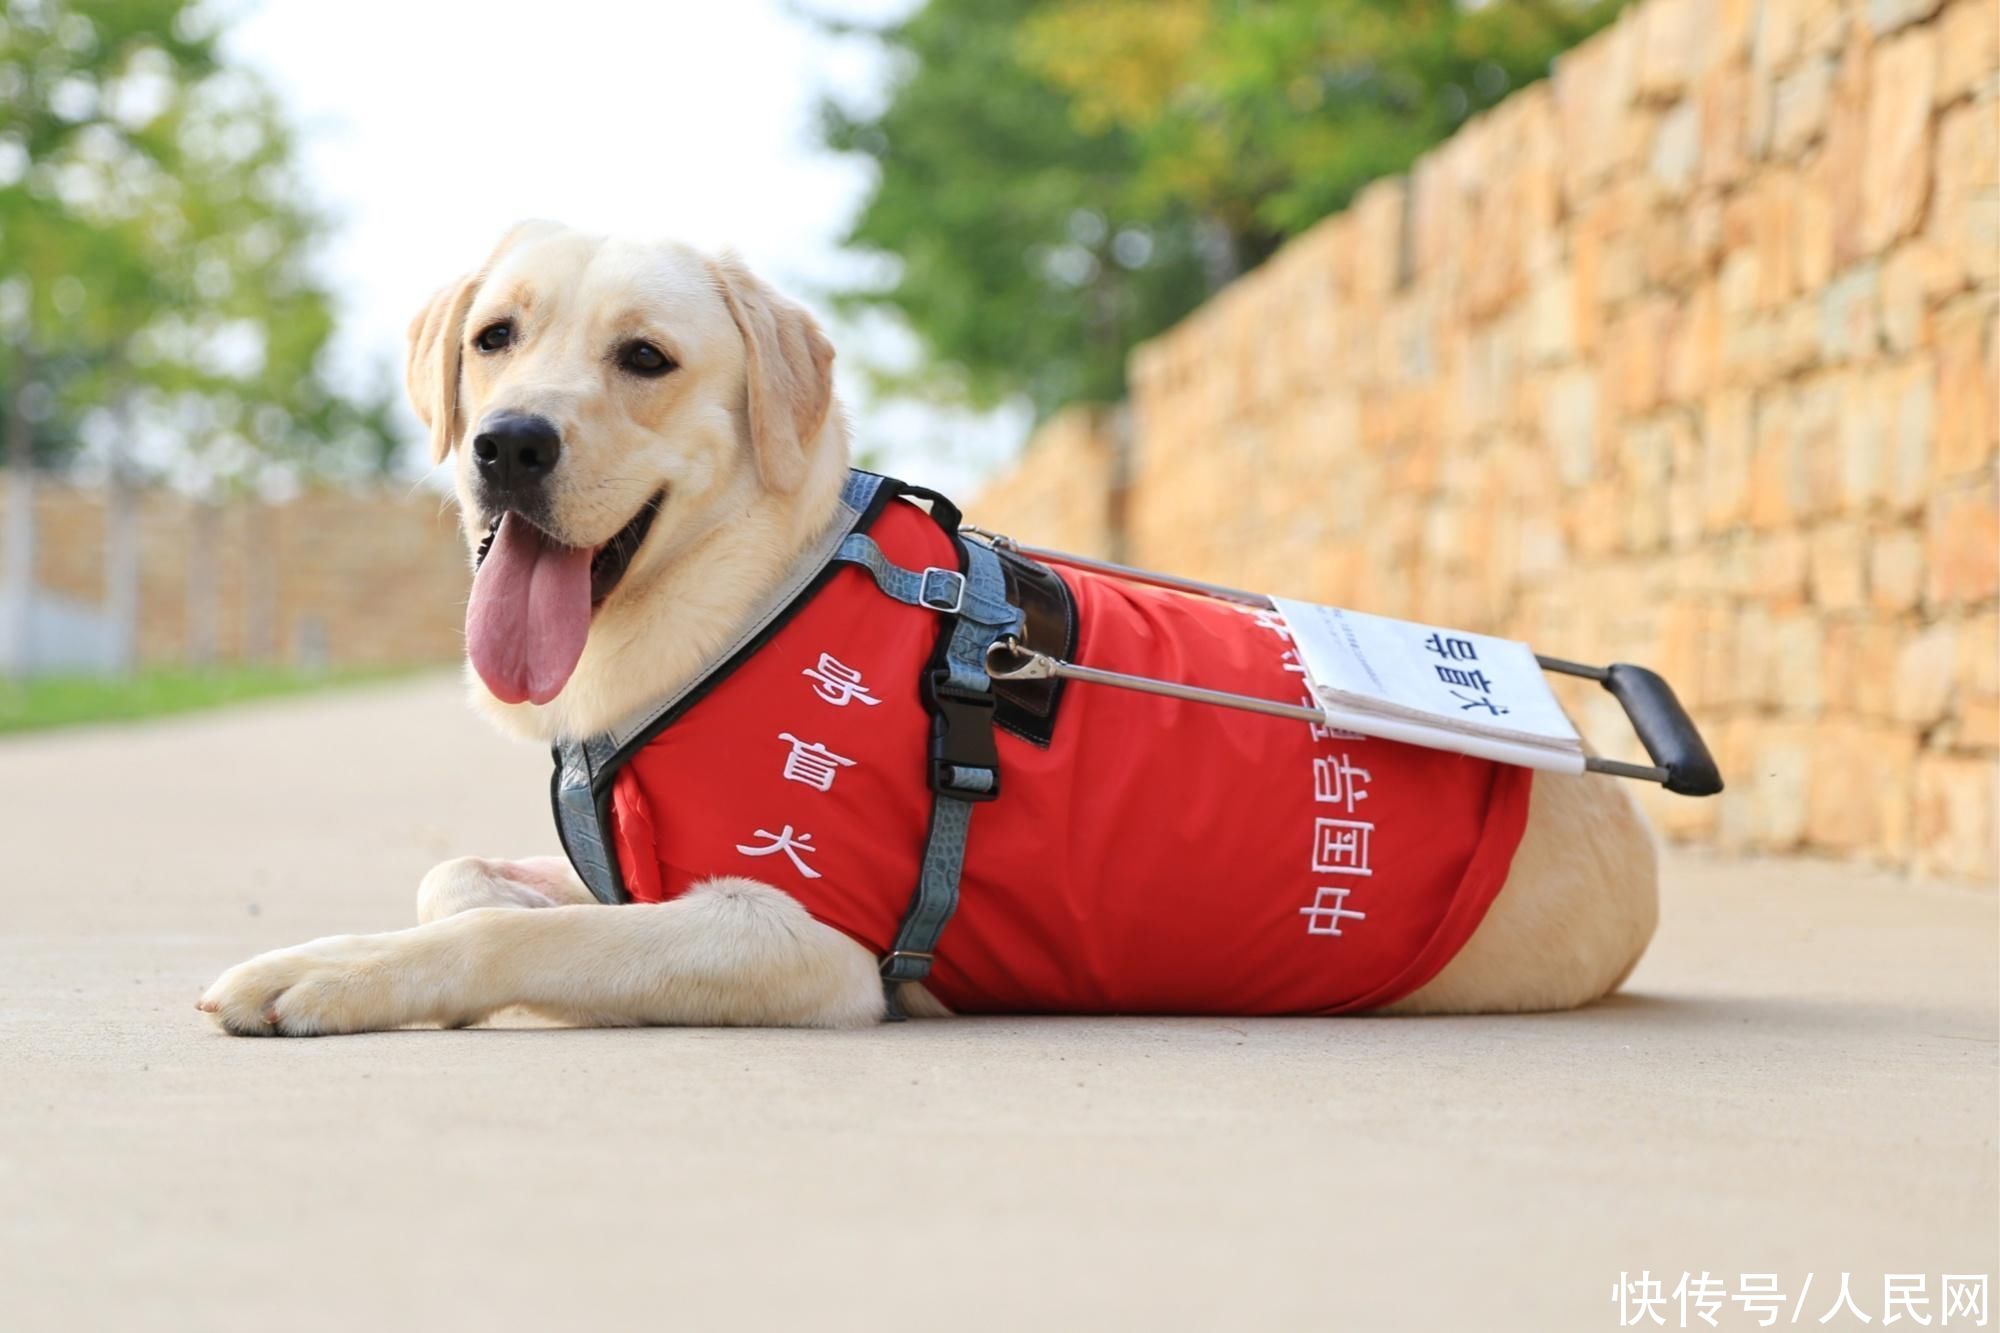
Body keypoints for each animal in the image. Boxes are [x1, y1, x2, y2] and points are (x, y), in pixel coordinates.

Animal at [195, 223, 1656, 1032]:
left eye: (645, 359)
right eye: (495, 337)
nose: (508, 443)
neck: (749, 587)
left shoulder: (795, 937)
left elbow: (511, 935)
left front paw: (324, 977)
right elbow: (459, 882)